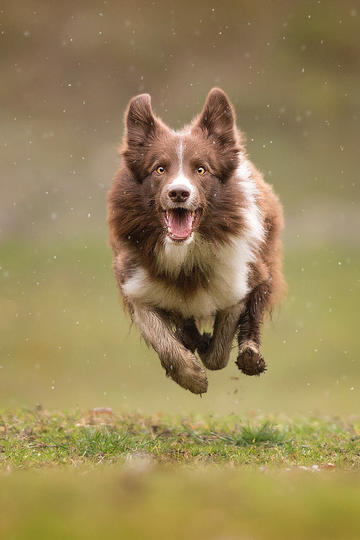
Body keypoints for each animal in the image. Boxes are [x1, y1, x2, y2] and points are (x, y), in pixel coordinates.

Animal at [107, 87, 284, 392]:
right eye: (160, 169)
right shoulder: (135, 282)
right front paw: (190, 375)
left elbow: (220, 350)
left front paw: (208, 351)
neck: (186, 254)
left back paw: (249, 354)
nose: (179, 193)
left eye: (201, 169)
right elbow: (160, 336)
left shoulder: (239, 277)